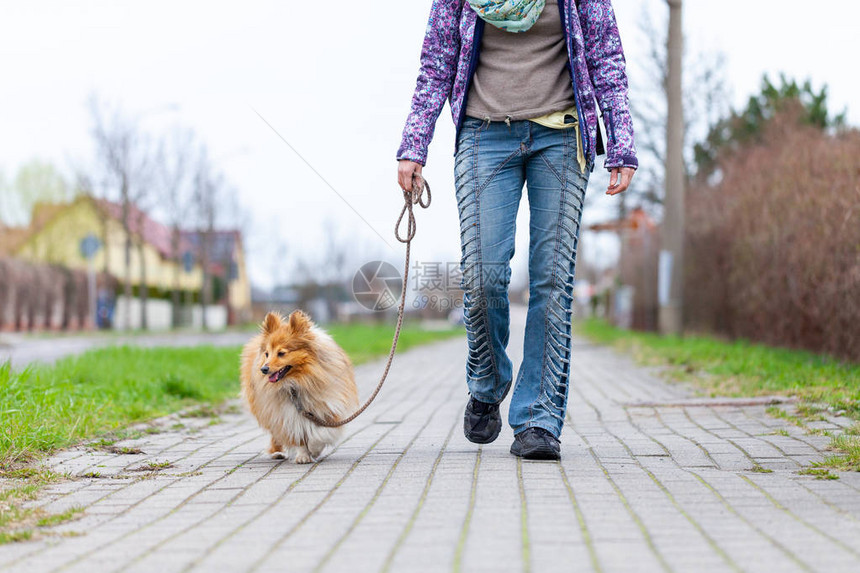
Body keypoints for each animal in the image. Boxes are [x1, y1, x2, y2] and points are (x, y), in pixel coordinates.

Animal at [240, 310, 358, 462]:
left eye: (281, 353)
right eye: (267, 354)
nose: (264, 369)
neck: (297, 383)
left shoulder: (328, 408)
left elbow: (322, 433)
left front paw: (314, 449)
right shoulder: (287, 413)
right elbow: (298, 436)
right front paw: (303, 455)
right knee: (276, 433)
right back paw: (277, 452)